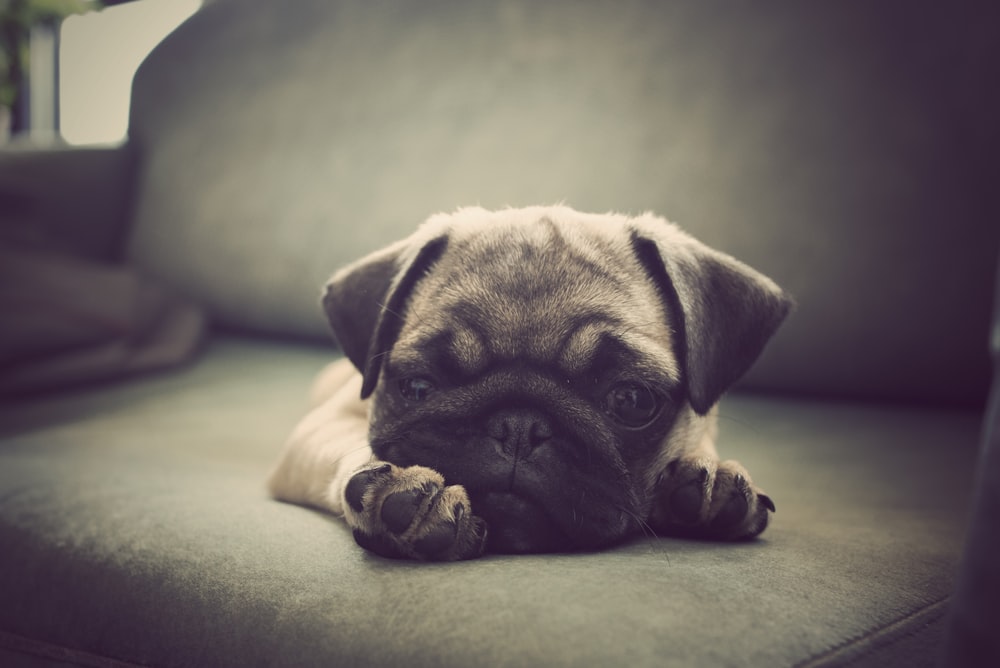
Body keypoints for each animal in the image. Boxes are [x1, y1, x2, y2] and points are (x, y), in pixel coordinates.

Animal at [268, 206, 796, 560]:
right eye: (418, 387)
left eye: (631, 400)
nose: (518, 426)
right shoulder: (319, 430)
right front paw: (398, 493)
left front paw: (706, 485)